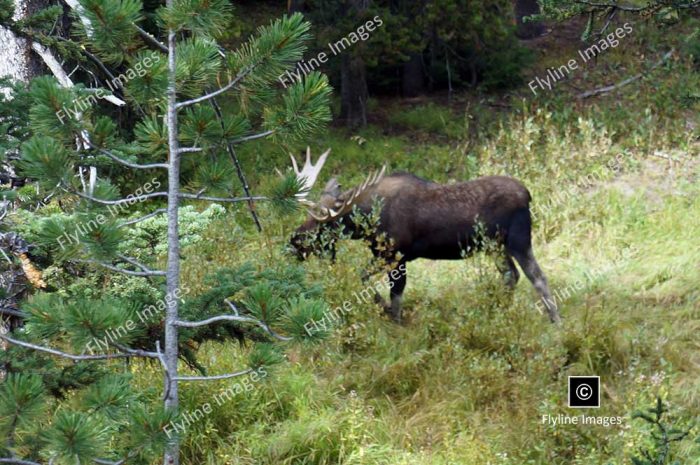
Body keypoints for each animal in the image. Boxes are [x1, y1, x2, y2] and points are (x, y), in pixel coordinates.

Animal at [288, 149, 560, 322]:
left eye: (323, 223)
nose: (293, 241)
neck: (367, 219)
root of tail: (528, 194)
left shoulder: (395, 254)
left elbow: (384, 288)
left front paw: (390, 315)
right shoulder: (390, 255)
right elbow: (375, 284)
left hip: (518, 240)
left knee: (538, 277)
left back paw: (555, 321)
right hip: (495, 246)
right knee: (511, 275)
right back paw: (499, 311)